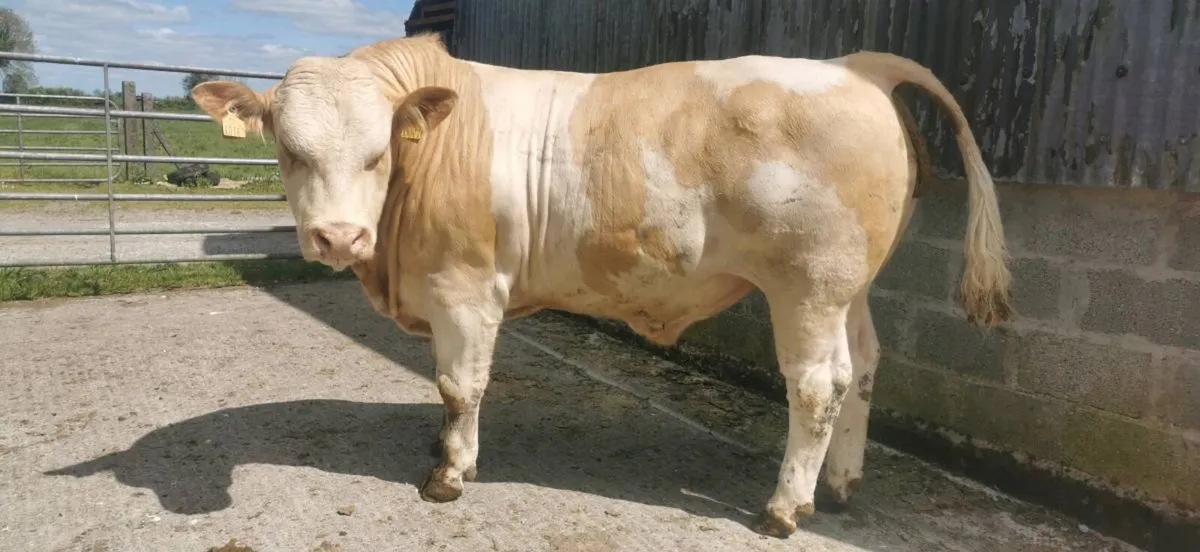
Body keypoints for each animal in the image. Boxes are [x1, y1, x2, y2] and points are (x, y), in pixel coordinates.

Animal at [191, 33, 1011, 538]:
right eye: (288, 151)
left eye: (377, 153)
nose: (338, 238)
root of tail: (856, 63)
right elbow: (443, 388)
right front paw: (442, 442)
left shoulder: (465, 289)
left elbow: (461, 385)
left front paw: (451, 472)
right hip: (850, 288)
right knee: (865, 366)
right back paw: (840, 486)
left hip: (806, 286)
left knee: (818, 385)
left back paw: (785, 507)